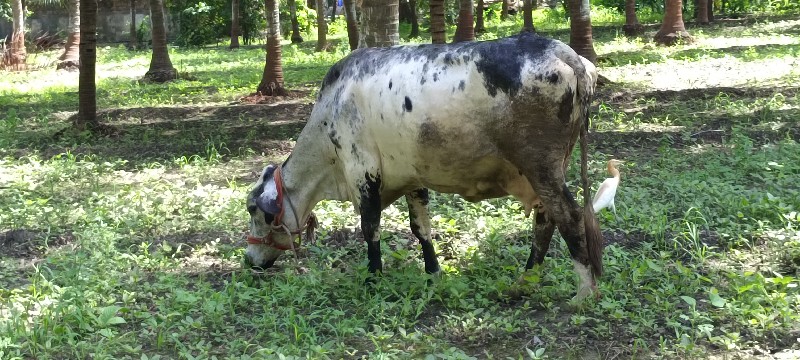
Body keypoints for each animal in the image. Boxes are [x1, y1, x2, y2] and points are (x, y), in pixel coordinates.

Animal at [247, 31, 604, 300]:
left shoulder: (363, 172)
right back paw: (524, 283)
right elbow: (421, 229)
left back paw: (583, 292)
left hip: (540, 166)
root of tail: (562, 51)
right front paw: (433, 273)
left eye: (255, 211)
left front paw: (373, 278)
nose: (249, 260)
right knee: (546, 221)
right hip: (546, 171)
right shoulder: (412, 179)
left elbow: (370, 229)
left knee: (568, 217)